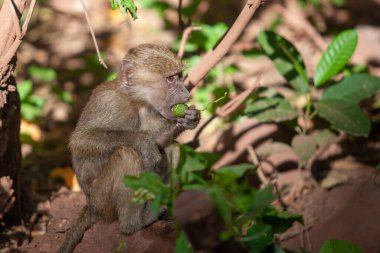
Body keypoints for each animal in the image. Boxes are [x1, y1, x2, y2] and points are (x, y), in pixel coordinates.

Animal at [59, 44, 200, 253]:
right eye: (170, 79)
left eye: (179, 76)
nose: (186, 95)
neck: (136, 100)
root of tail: (90, 207)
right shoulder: (108, 102)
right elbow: (81, 140)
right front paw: (144, 143)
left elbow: (161, 142)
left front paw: (189, 119)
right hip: (102, 201)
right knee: (127, 156)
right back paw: (134, 223)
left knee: (173, 150)